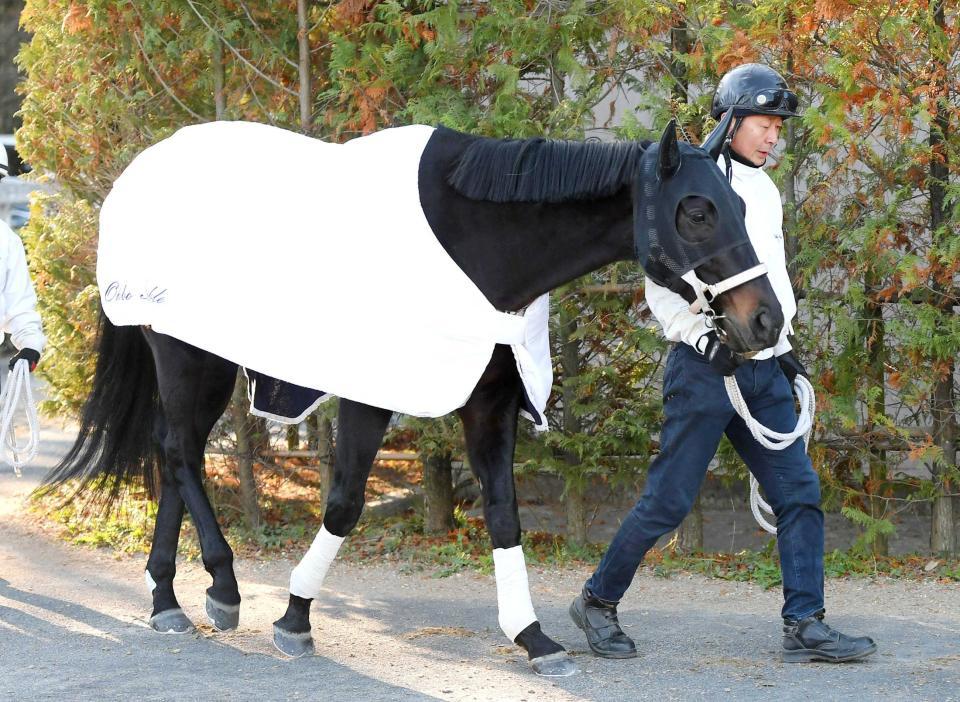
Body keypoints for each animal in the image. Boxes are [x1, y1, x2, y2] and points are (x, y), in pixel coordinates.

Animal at [41, 114, 784, 676]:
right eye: (697, 210)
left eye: (742, 205)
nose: (766, 321)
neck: (477, 249)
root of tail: (139, 171)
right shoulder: (370, 393)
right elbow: (344, 504)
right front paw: (295, 616)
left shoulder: (491, 404)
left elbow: (505, 515)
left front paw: (532, 636)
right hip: (182, 352)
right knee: (180, 453)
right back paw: (222, 587)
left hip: (207, 358)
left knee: (176, 453)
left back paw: (167, 598)